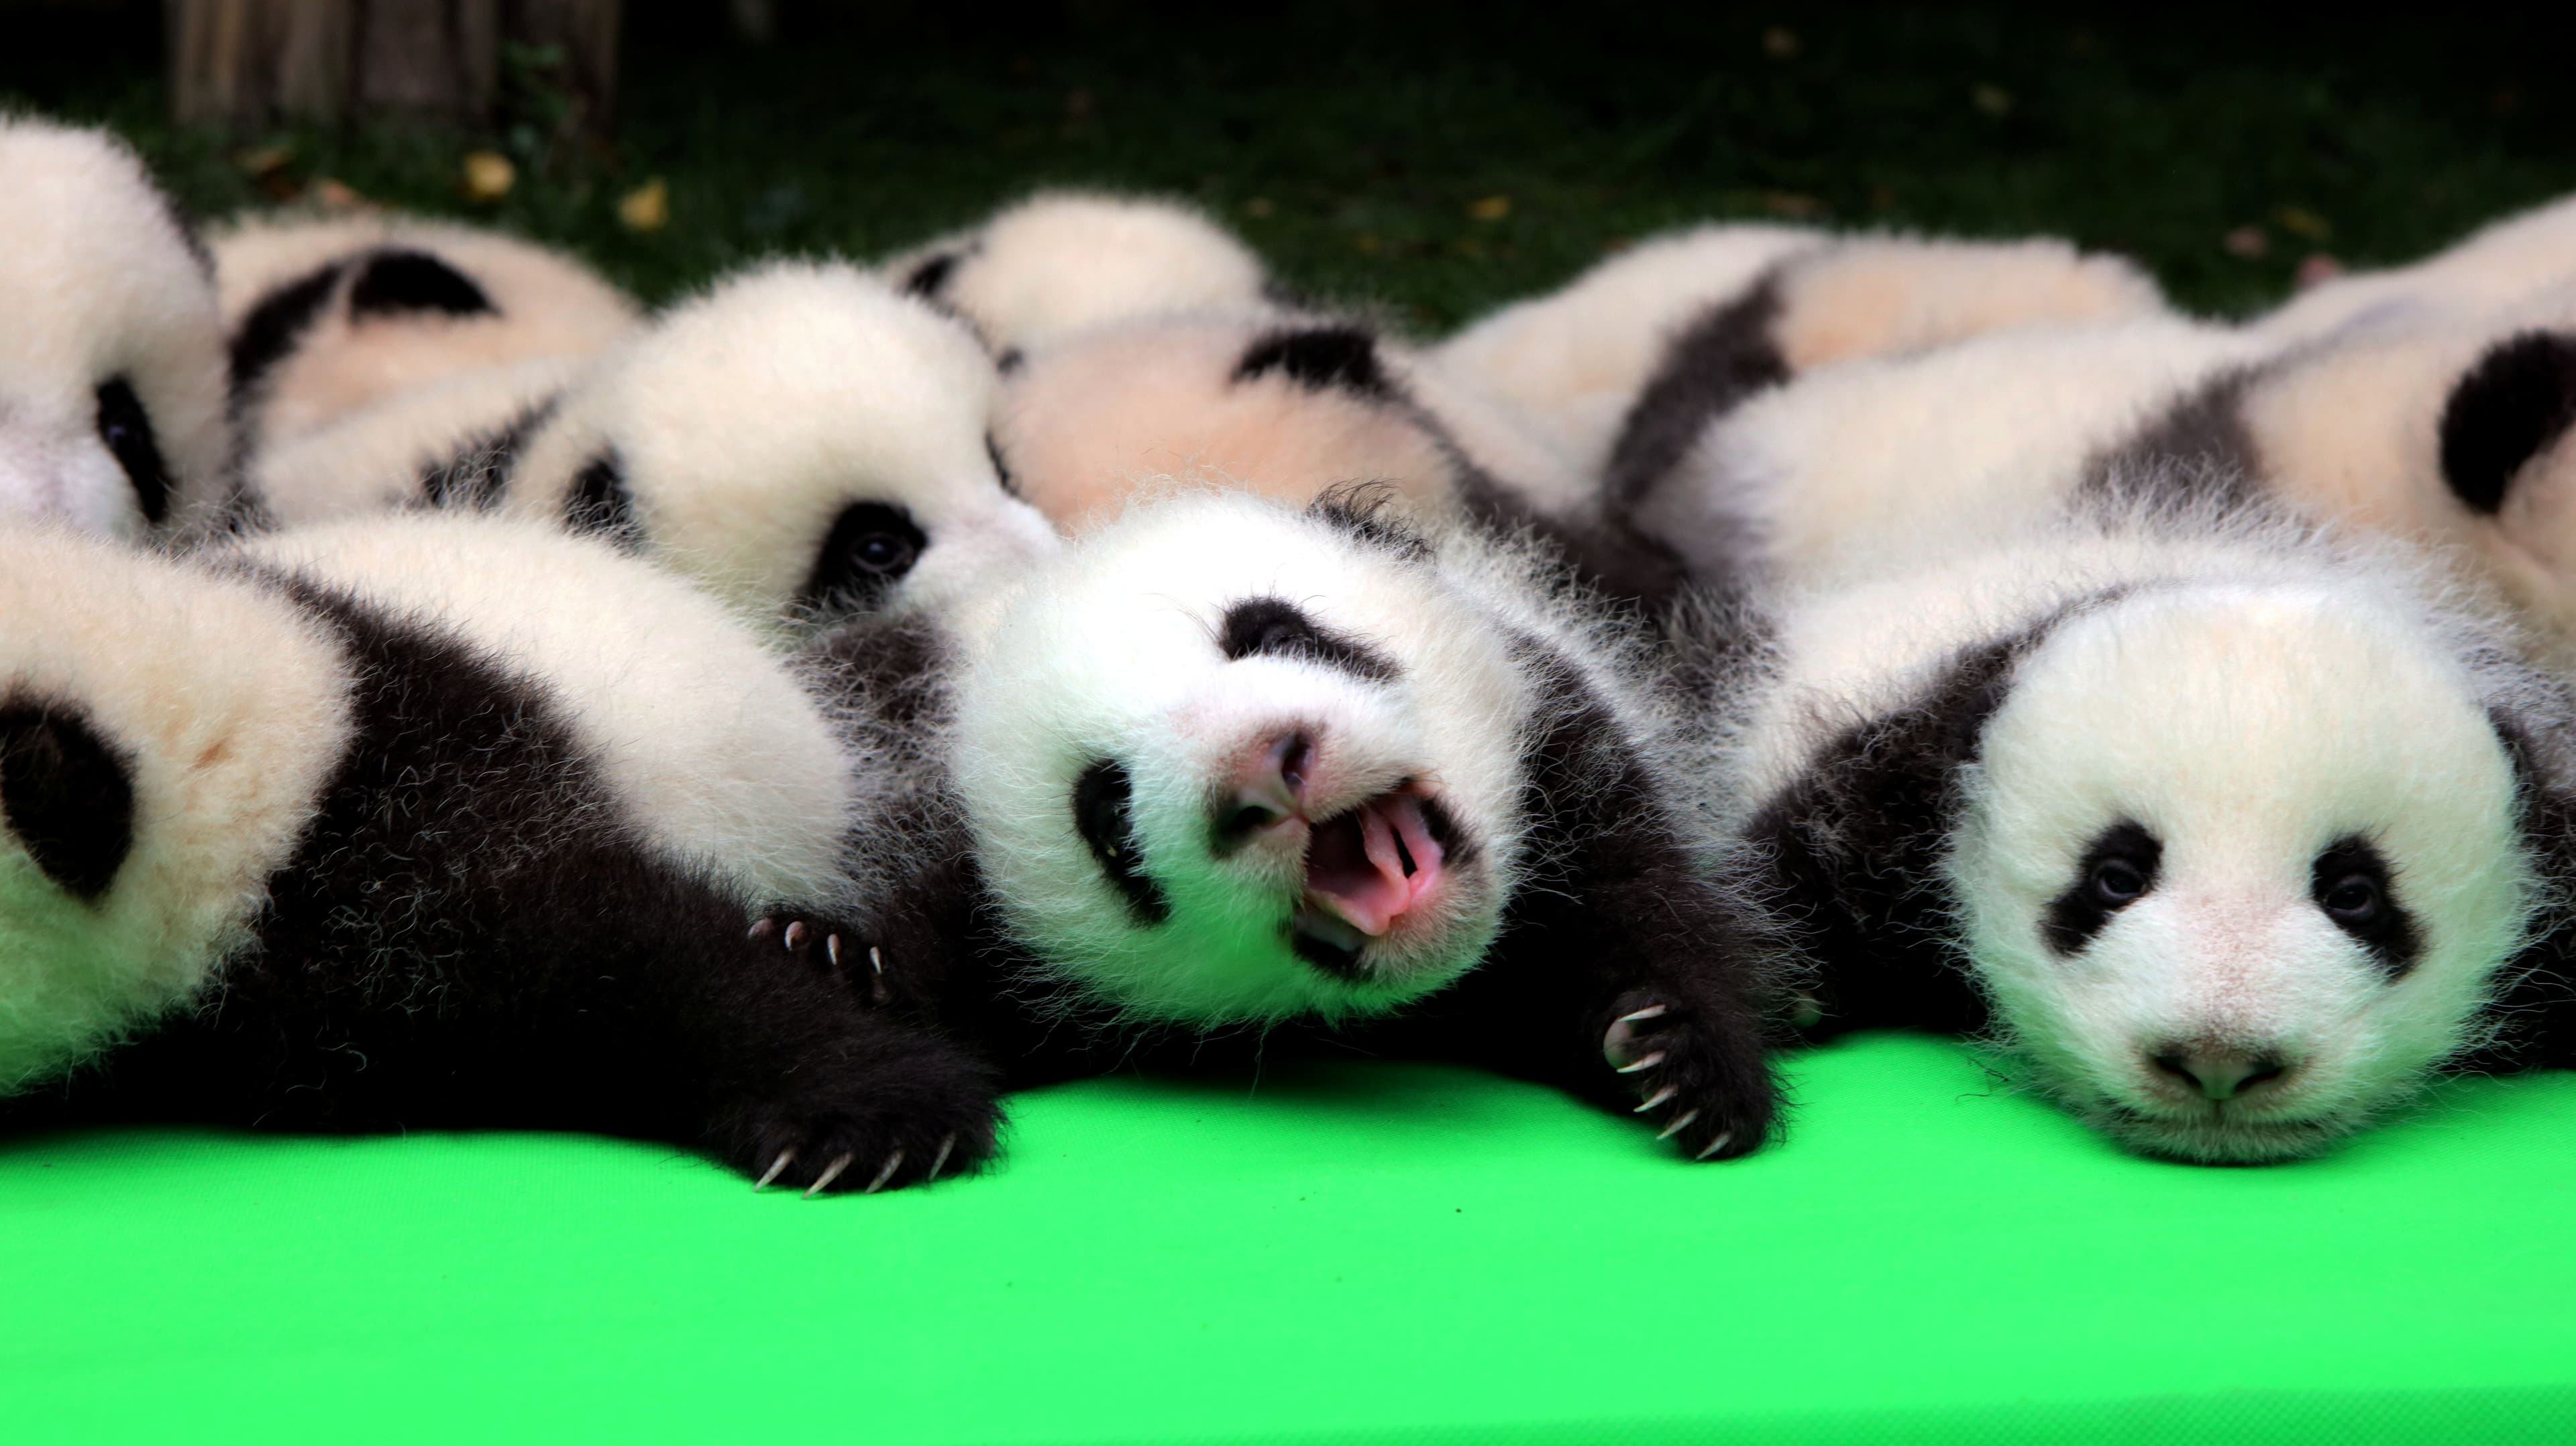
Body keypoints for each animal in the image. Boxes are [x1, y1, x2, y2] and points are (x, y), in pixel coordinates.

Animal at [792, 487, 1783, 1161]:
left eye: (1276, 634)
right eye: (1108, 814)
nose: (1265, 769)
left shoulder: (1566, 744)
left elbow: (1647, 901)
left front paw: (1678, 1059)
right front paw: (845, 1000)